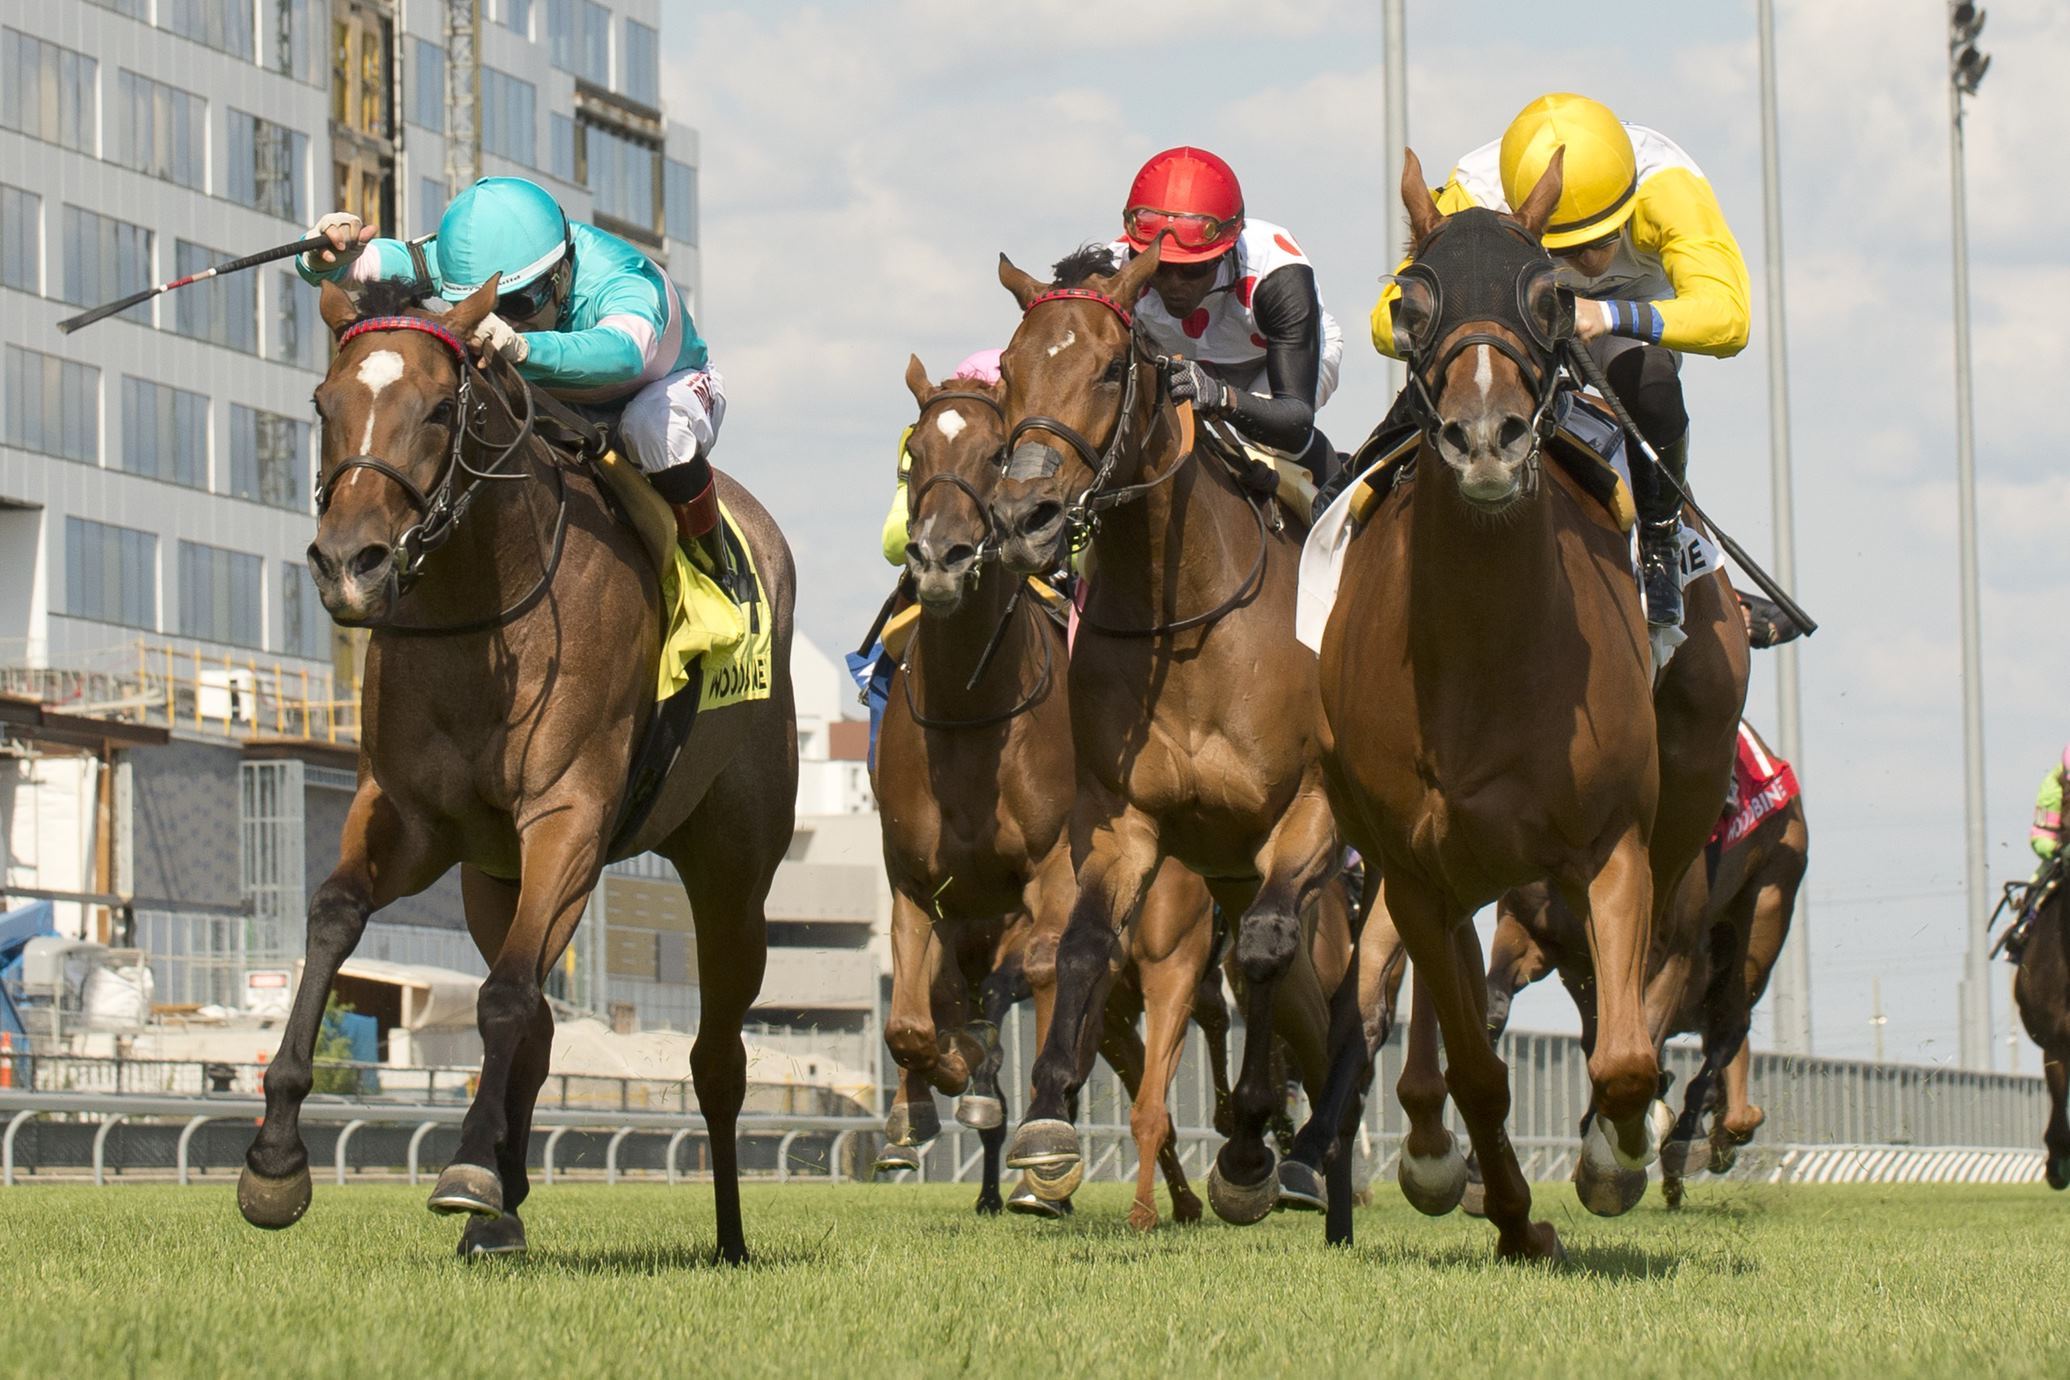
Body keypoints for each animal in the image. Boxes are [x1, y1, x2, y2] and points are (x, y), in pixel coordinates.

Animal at [238, 281, 794, 1266]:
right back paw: (504, 1208)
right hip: (492, 878)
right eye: (323, 403)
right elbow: (335, 920)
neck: (480, 607)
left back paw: (727, 1236)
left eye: (437, 409)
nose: (349, 566)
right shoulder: (412, 816)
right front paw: (275, 1158)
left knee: (715, 1055)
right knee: (538, 1013)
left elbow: (502, 994)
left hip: (732, 876)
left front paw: (465, 1168)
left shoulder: (567, 815)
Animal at [865, 355, 1217, 1216]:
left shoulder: (1053, 878)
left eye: (997, 453)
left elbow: (1027, 978)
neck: (971, 715)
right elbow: (909, 1025)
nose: (939, 558)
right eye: (914, 455)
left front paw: (992, 1091)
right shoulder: (914, 884)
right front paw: (935, 1095)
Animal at [989, 245, 1391, 1233]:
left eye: (1108, 368)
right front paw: (1046, 1126)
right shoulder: (1124, 817)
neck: (1189, 618)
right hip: (1232, 865)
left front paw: (1248, 1147)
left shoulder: (1311, 806)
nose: (1023, 521)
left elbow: (1267, 950)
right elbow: (1085, 948)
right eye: (1010, 371)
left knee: (1349, 992)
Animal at [1316, 151, 1738, 1266]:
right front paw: (1501, 1208)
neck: (1482, 659)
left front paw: (1610, 1160)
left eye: (1549, 297)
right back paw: (1434, 1154)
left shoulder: (1612, 843)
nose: (1485, 439)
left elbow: (1626, 1056)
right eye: (1408, 300)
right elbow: (1473, 1067)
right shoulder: (1418, 866)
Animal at [1482, 732, 1805, 1208]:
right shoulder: (1530, 933)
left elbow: (1644, 1042)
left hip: (1763, 914)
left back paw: (1689, 1138)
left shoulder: (1672, 952)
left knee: (1729, 1026)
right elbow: (1495, 1007)